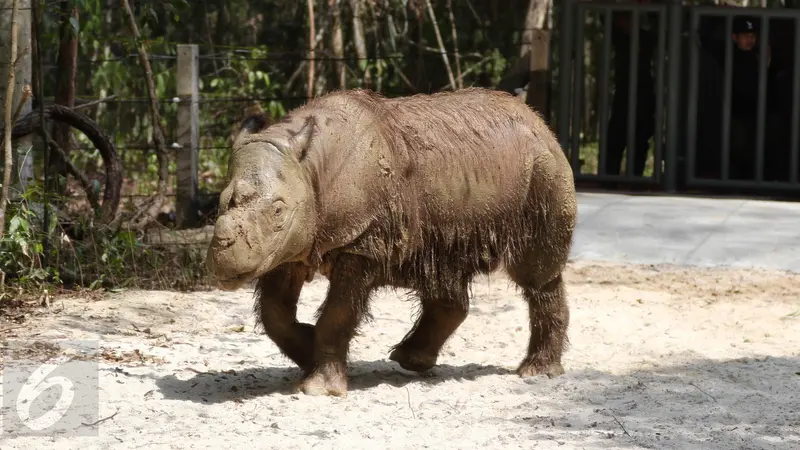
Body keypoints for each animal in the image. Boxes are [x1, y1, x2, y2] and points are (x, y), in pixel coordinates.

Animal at [206, 88, 580, 398]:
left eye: (278, 210)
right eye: (219, 204)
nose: (223, 254)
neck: (311, 169)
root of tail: (539, 121)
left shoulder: (361, 242)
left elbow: (338, 314)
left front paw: (319, 388)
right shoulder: (287, 248)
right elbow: (275, 313)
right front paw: (308, 350)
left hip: (543, 169)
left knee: (535, 275)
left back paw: (536, 372)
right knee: (443, 268)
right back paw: (411, 359)